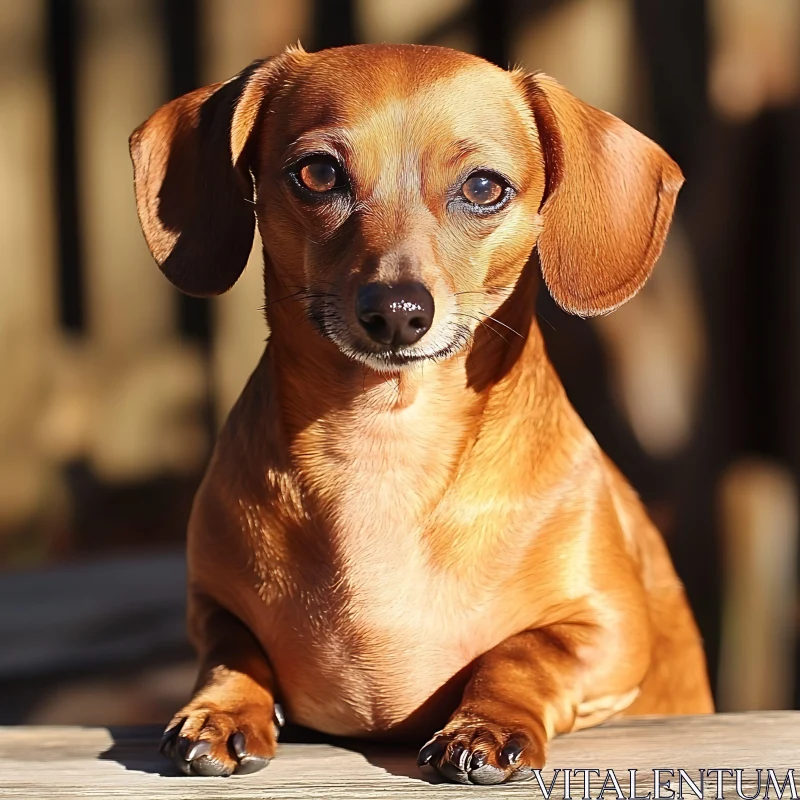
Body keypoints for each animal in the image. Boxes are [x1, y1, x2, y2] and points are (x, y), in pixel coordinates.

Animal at [130, 42, 712, 780]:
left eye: (484, 187)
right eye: (317, 173)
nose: (397, 311)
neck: (386, 443)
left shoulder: (609, 631)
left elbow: (522, 653)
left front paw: (486, 725)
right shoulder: (212, 610)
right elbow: (232, 653)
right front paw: (223, 709)